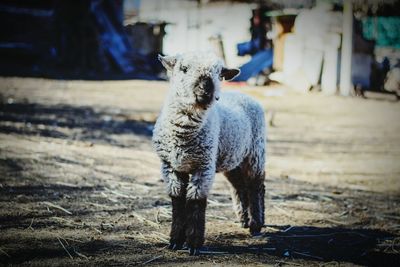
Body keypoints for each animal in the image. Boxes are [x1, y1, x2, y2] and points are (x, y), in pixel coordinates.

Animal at [152, 51, 266, 255]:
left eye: (219, 73)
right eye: (184, 68)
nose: (206, 89)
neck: (183, 136)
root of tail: (244, 95)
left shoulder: (203, 167)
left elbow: (196, 202)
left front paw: (194, 244)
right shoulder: (170, 167)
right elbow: (178, 201)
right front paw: (175, 241)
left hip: (255, 152)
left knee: (256, 186)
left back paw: (256, 225)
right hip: (232, 157)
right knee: (239, 186)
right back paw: (244, 220)